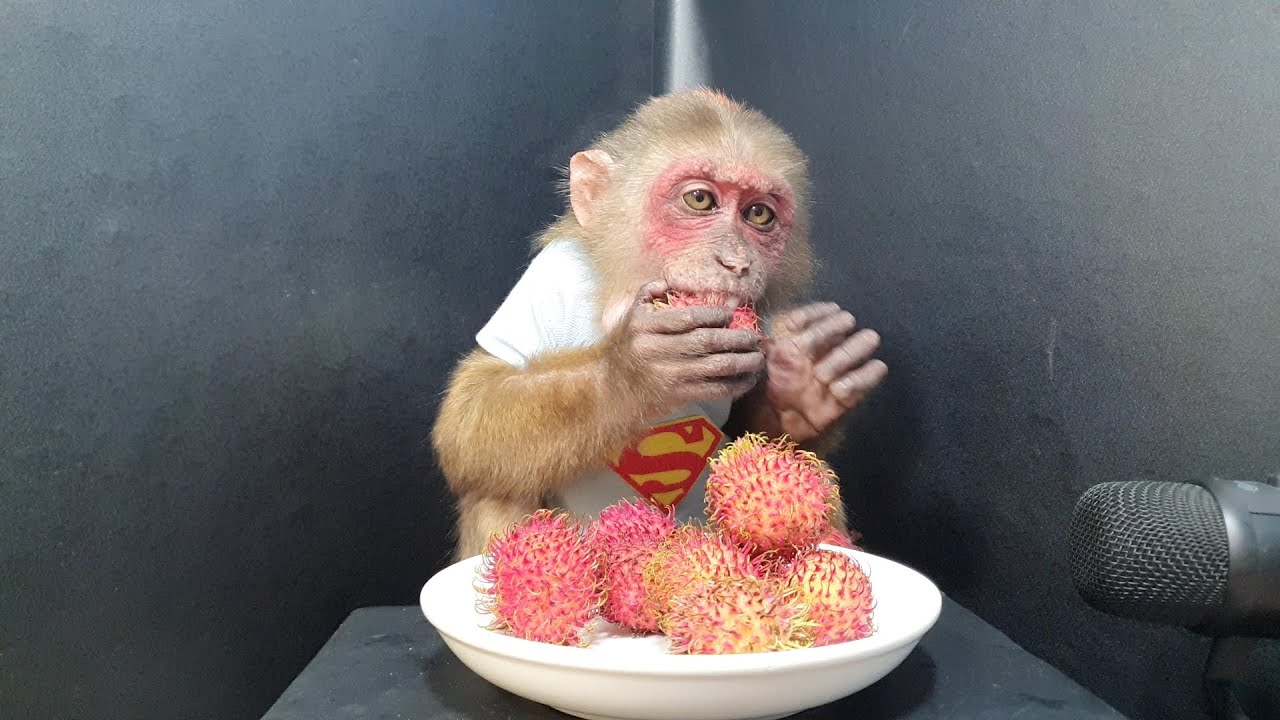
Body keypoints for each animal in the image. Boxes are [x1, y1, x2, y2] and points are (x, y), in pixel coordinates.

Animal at [431, 88, 887, 560]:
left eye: (759, 214)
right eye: (700, 200)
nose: (736, 262)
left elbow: (756, 436)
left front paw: (802, 386)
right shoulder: (550, 282)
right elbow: (468, 422)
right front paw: (633, 374)